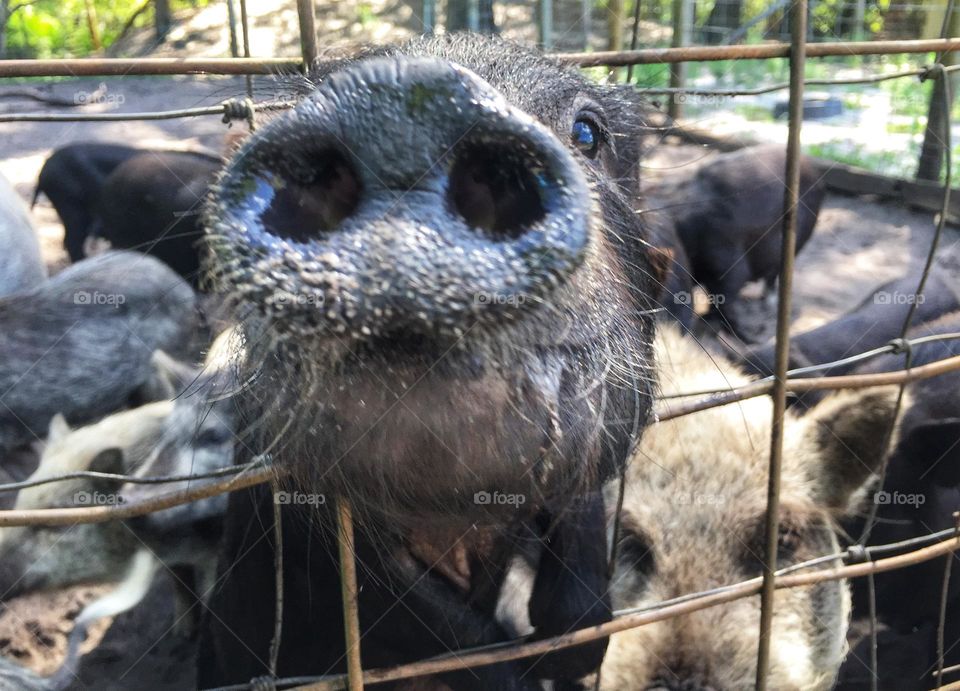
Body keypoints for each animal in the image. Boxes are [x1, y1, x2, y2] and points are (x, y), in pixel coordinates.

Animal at [660, 145, 826, 335]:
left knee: (776, 274)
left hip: (798, 241)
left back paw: (768, 303)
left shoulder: (727, 259)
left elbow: (728, 291)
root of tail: (811, 167)